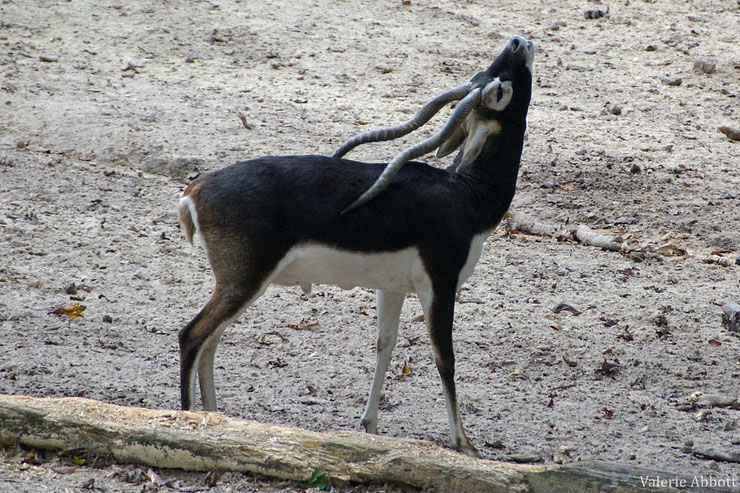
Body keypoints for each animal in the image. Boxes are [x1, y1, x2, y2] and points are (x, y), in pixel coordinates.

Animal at [179, 36, 536, 456]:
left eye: (486, 77)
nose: (518, 42)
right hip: (244, 281)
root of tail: (194, 192)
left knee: (211, 341)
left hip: (238, 285)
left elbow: (385, 344)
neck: (467, 194)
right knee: (193, 336)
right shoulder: (441, 284)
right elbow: (444, 357)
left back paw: (217, 419)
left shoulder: (393, 288)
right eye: (498, 89)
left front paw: (370, 426)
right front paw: (464, 444)